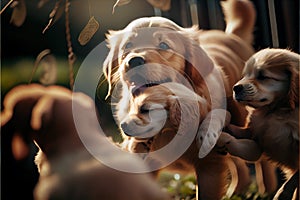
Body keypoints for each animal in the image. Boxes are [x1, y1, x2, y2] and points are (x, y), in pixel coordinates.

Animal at [218, 48, 300, 200]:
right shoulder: (256, 133)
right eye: (245, 75)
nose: (235, 88)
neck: (275, 111)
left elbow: (294, 178)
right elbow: (237, 132)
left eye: (262, 76)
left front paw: (281, 194)